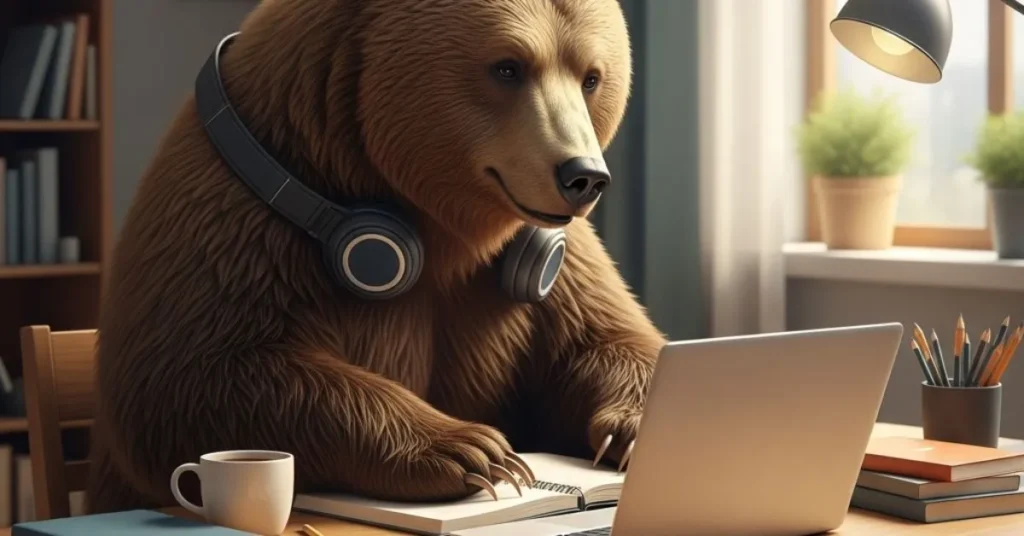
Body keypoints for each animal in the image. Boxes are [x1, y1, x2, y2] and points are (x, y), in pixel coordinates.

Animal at [87, 0, 666, 513]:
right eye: (508, 66)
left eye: (591, 76)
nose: (583, 176)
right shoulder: (240, 229)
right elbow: (201, 371)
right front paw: (476, 450)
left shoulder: (545, 267)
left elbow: (606, 337)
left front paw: (633, 429)